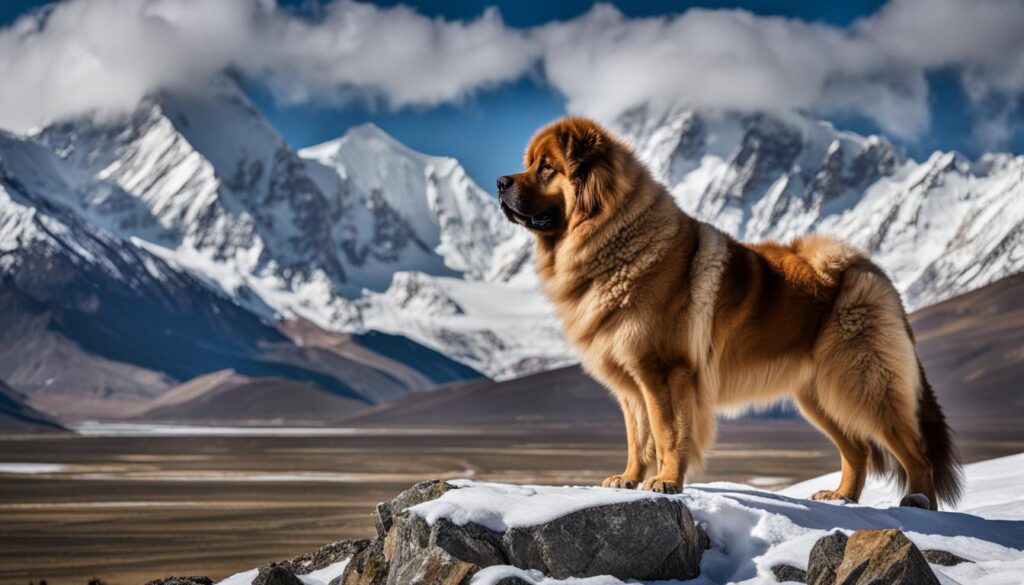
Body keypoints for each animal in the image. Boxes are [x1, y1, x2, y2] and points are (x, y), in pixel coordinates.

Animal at [499, 116, 962, 510]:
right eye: (529, 164)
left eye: (546, 168)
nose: (501, 182)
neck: (616, 238)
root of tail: (867, 268)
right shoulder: (631, 381)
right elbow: (638, 435)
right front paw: (628, 478)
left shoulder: (662, 370)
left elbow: (667, 432)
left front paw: (665, 481)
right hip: (817, 392)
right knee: (859, 449)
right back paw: (841, 496)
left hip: (860, 380)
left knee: (913, 450)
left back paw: (917, 502)